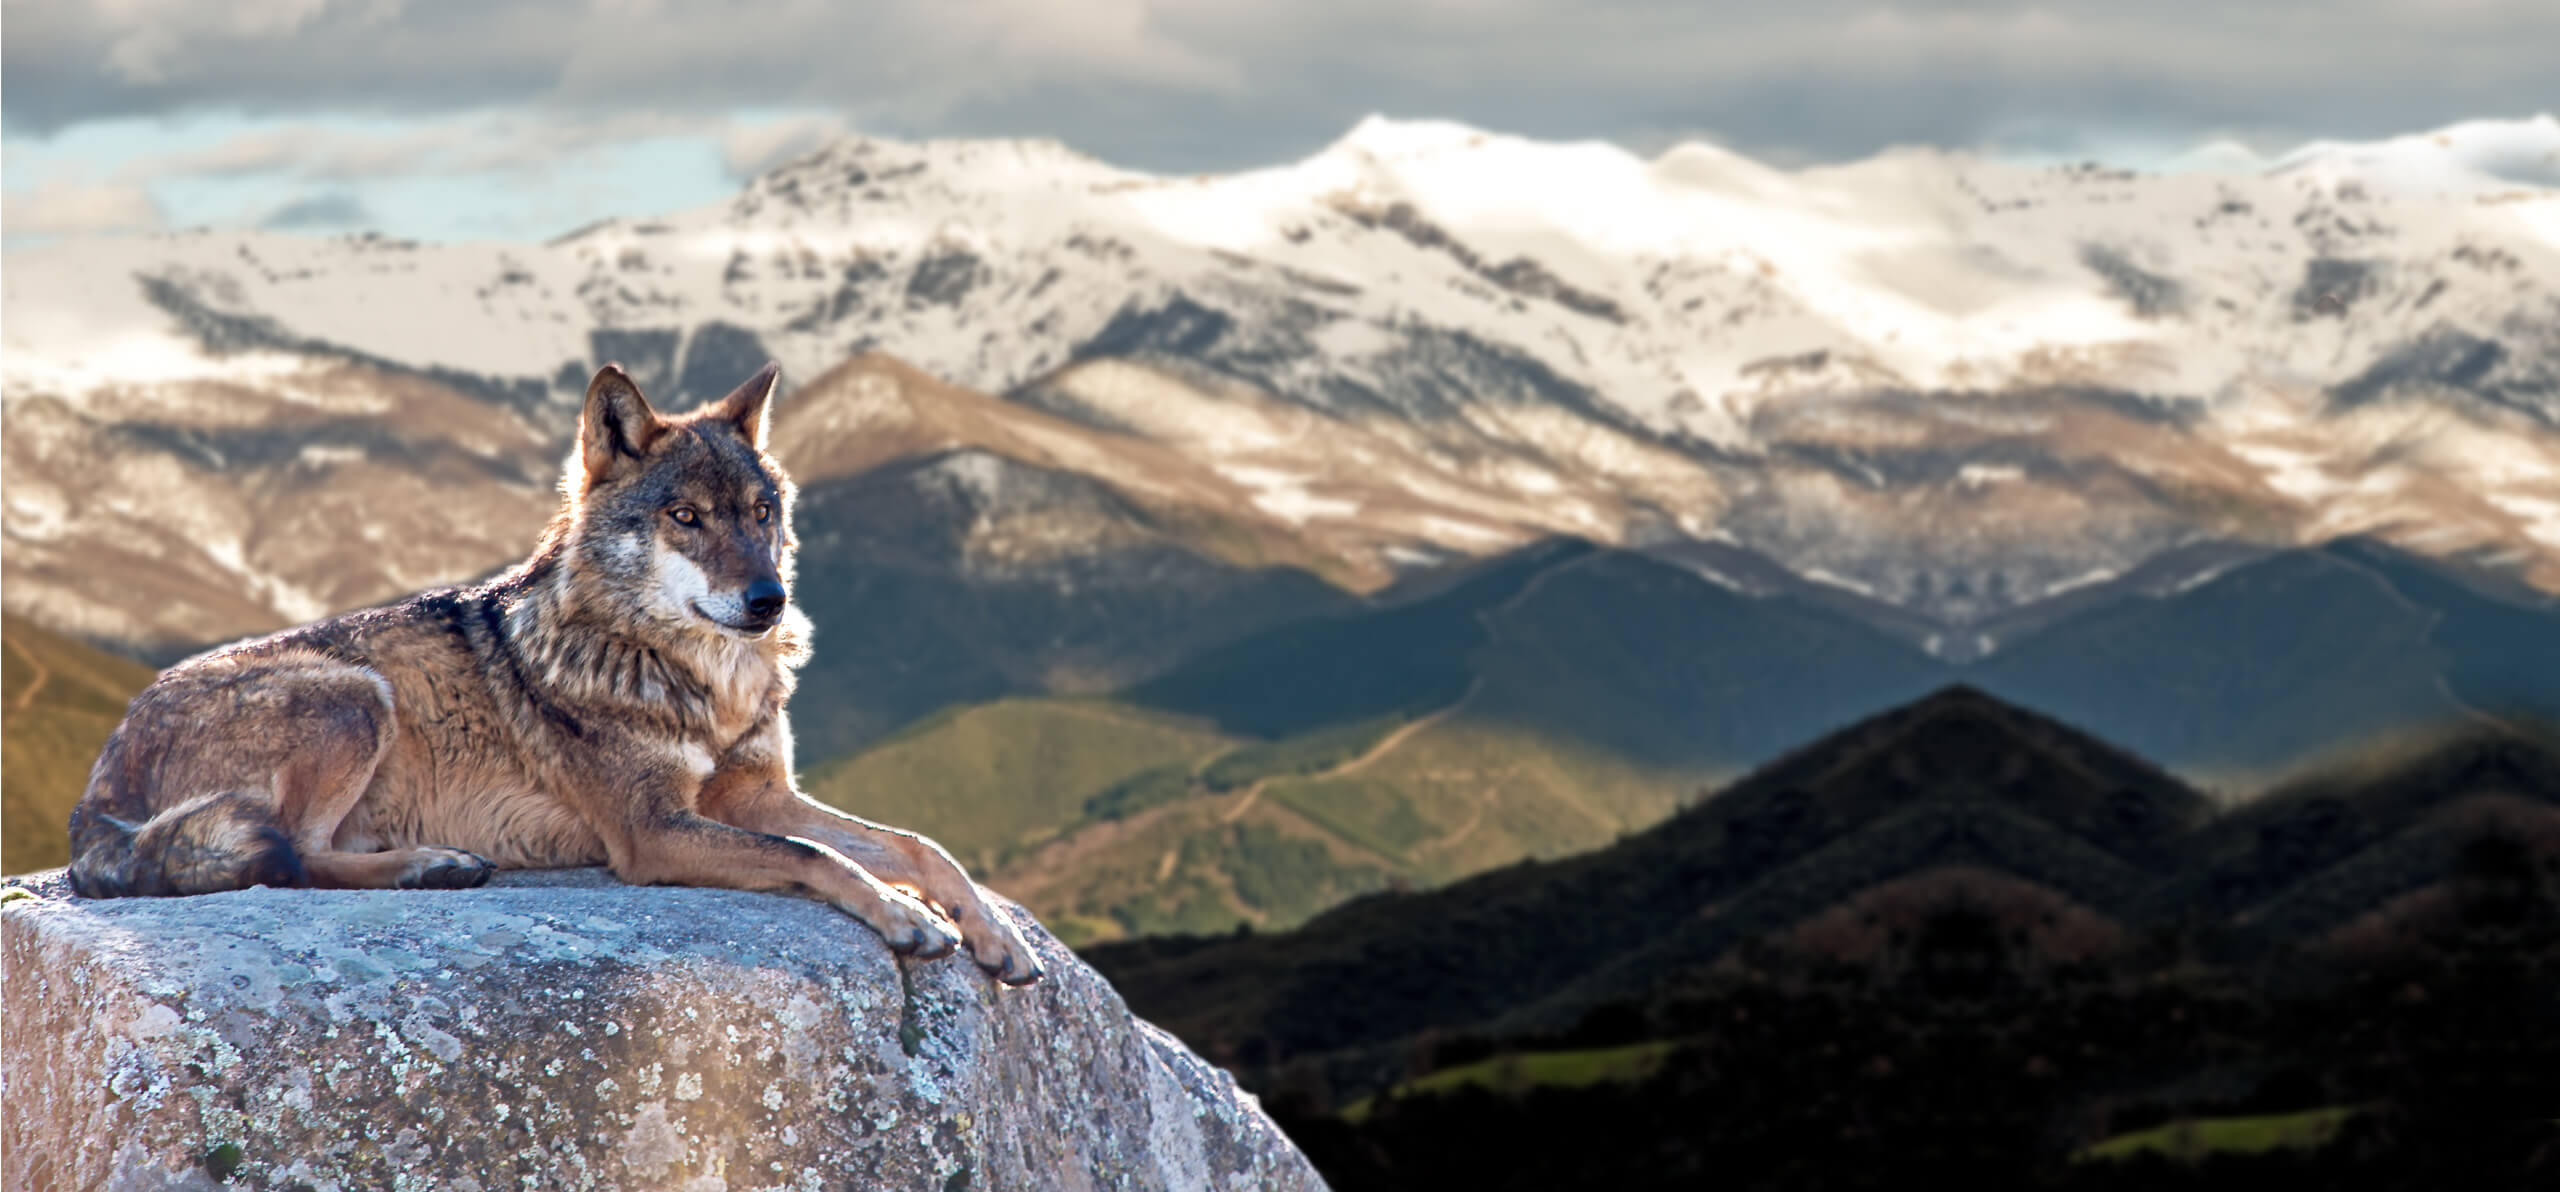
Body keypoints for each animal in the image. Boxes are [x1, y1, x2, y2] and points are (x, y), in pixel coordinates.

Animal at [62, 363, 1039, 987]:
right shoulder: (654, 833)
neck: (698, 681)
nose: (769, 600)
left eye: (762, 512)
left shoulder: (754, 794)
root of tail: (94, 788)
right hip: (353, 696)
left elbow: (916, 845)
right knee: (293, 856)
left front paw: (991, 934)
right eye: (686, 518)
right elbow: (816, 856)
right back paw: (431, 866)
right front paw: (907, 916)